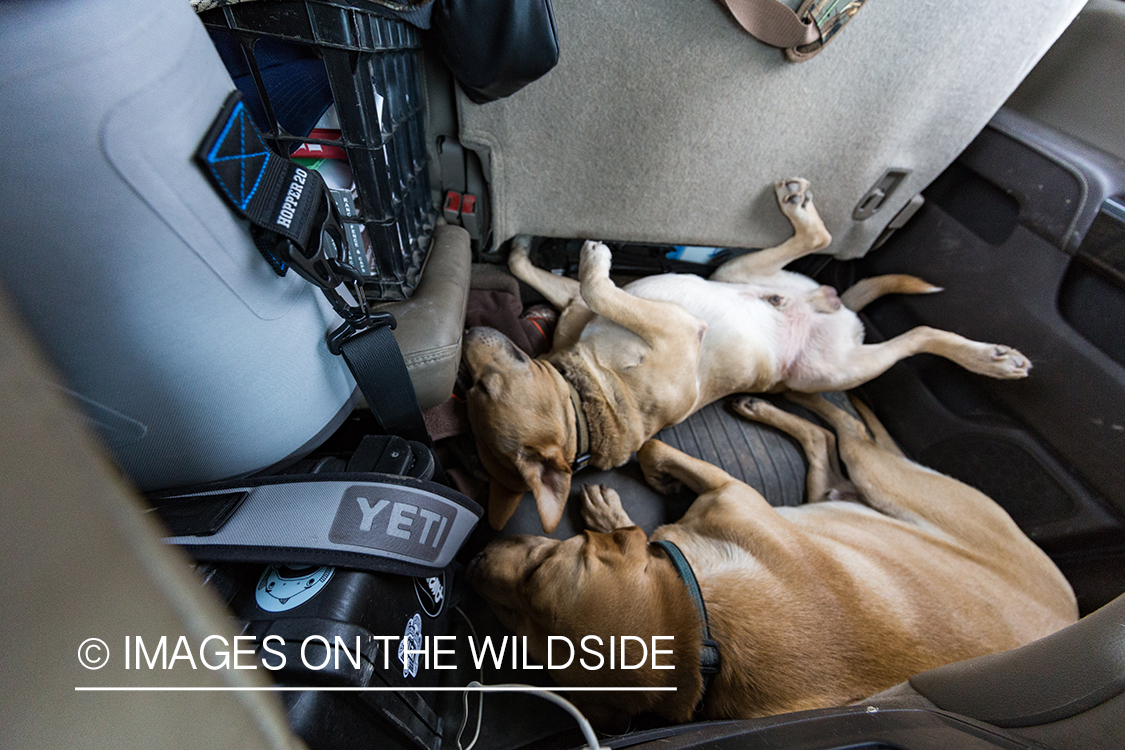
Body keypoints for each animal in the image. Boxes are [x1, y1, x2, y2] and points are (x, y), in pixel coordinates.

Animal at [461, 178, 1030, 532]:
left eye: (478, 387)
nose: (465, 342)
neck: (585, 401)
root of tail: (827, 305)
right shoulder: (669, 328)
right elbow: (595, 286)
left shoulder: (601, 310)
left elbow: (575, 283)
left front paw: (526, 248)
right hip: (830, 367)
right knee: (915, 335)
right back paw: (992, 359)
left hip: (735, 275)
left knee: (822, 241)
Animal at [463, 395, 1071, 728]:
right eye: (518, 633)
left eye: (542, 565)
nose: (476, 559)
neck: (704, 627)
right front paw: (615, 512)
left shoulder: (732, 490)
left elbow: (654, 449)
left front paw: (625, 498)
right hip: (842, 487)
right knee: (825, 442)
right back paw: (770, 401)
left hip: (886, 478)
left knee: (848, 429)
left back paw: (807, 391)